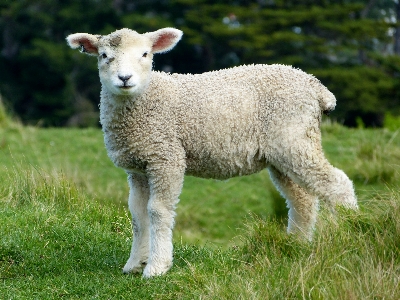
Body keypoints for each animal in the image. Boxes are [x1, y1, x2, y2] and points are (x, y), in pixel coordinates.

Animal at [67, 27, 358, 278]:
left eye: (145, 54)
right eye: (105, 56)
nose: (125, 78)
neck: (147, 99)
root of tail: (316, 87)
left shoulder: (166, 157)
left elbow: (158, 210)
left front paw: (157, 266)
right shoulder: (139, 166)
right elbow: (138, 215)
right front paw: (134, 264)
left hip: (294, 139)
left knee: (337, 184)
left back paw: (351, 234)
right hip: (283, 151)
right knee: (302, 199)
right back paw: (295, 246)